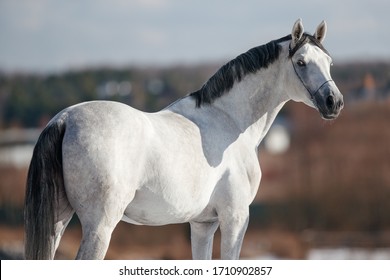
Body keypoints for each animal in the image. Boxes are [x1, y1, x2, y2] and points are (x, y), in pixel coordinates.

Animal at [24, 19, 342, 260]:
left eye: (328, 61)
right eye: (301, 62)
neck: (229, 120)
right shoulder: (235, 218)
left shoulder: (202, 224)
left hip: (58, 220)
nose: (333, 102)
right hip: (100, 226)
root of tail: (64, 119)